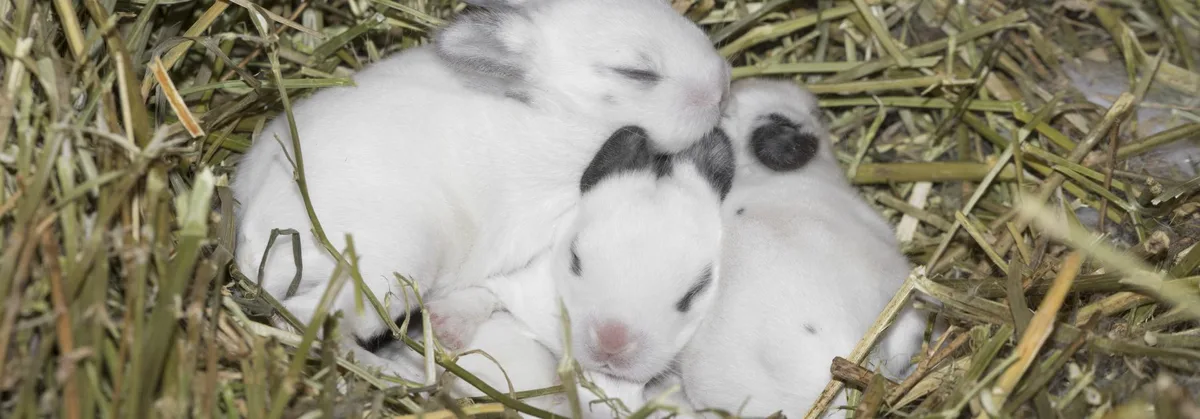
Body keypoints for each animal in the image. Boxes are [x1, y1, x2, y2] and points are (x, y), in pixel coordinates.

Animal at [231, 0, 731, 376]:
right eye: (635, 72)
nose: (723, 84)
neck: (563, 117)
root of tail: (255, 238)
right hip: (389, 268)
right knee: (306, 318)